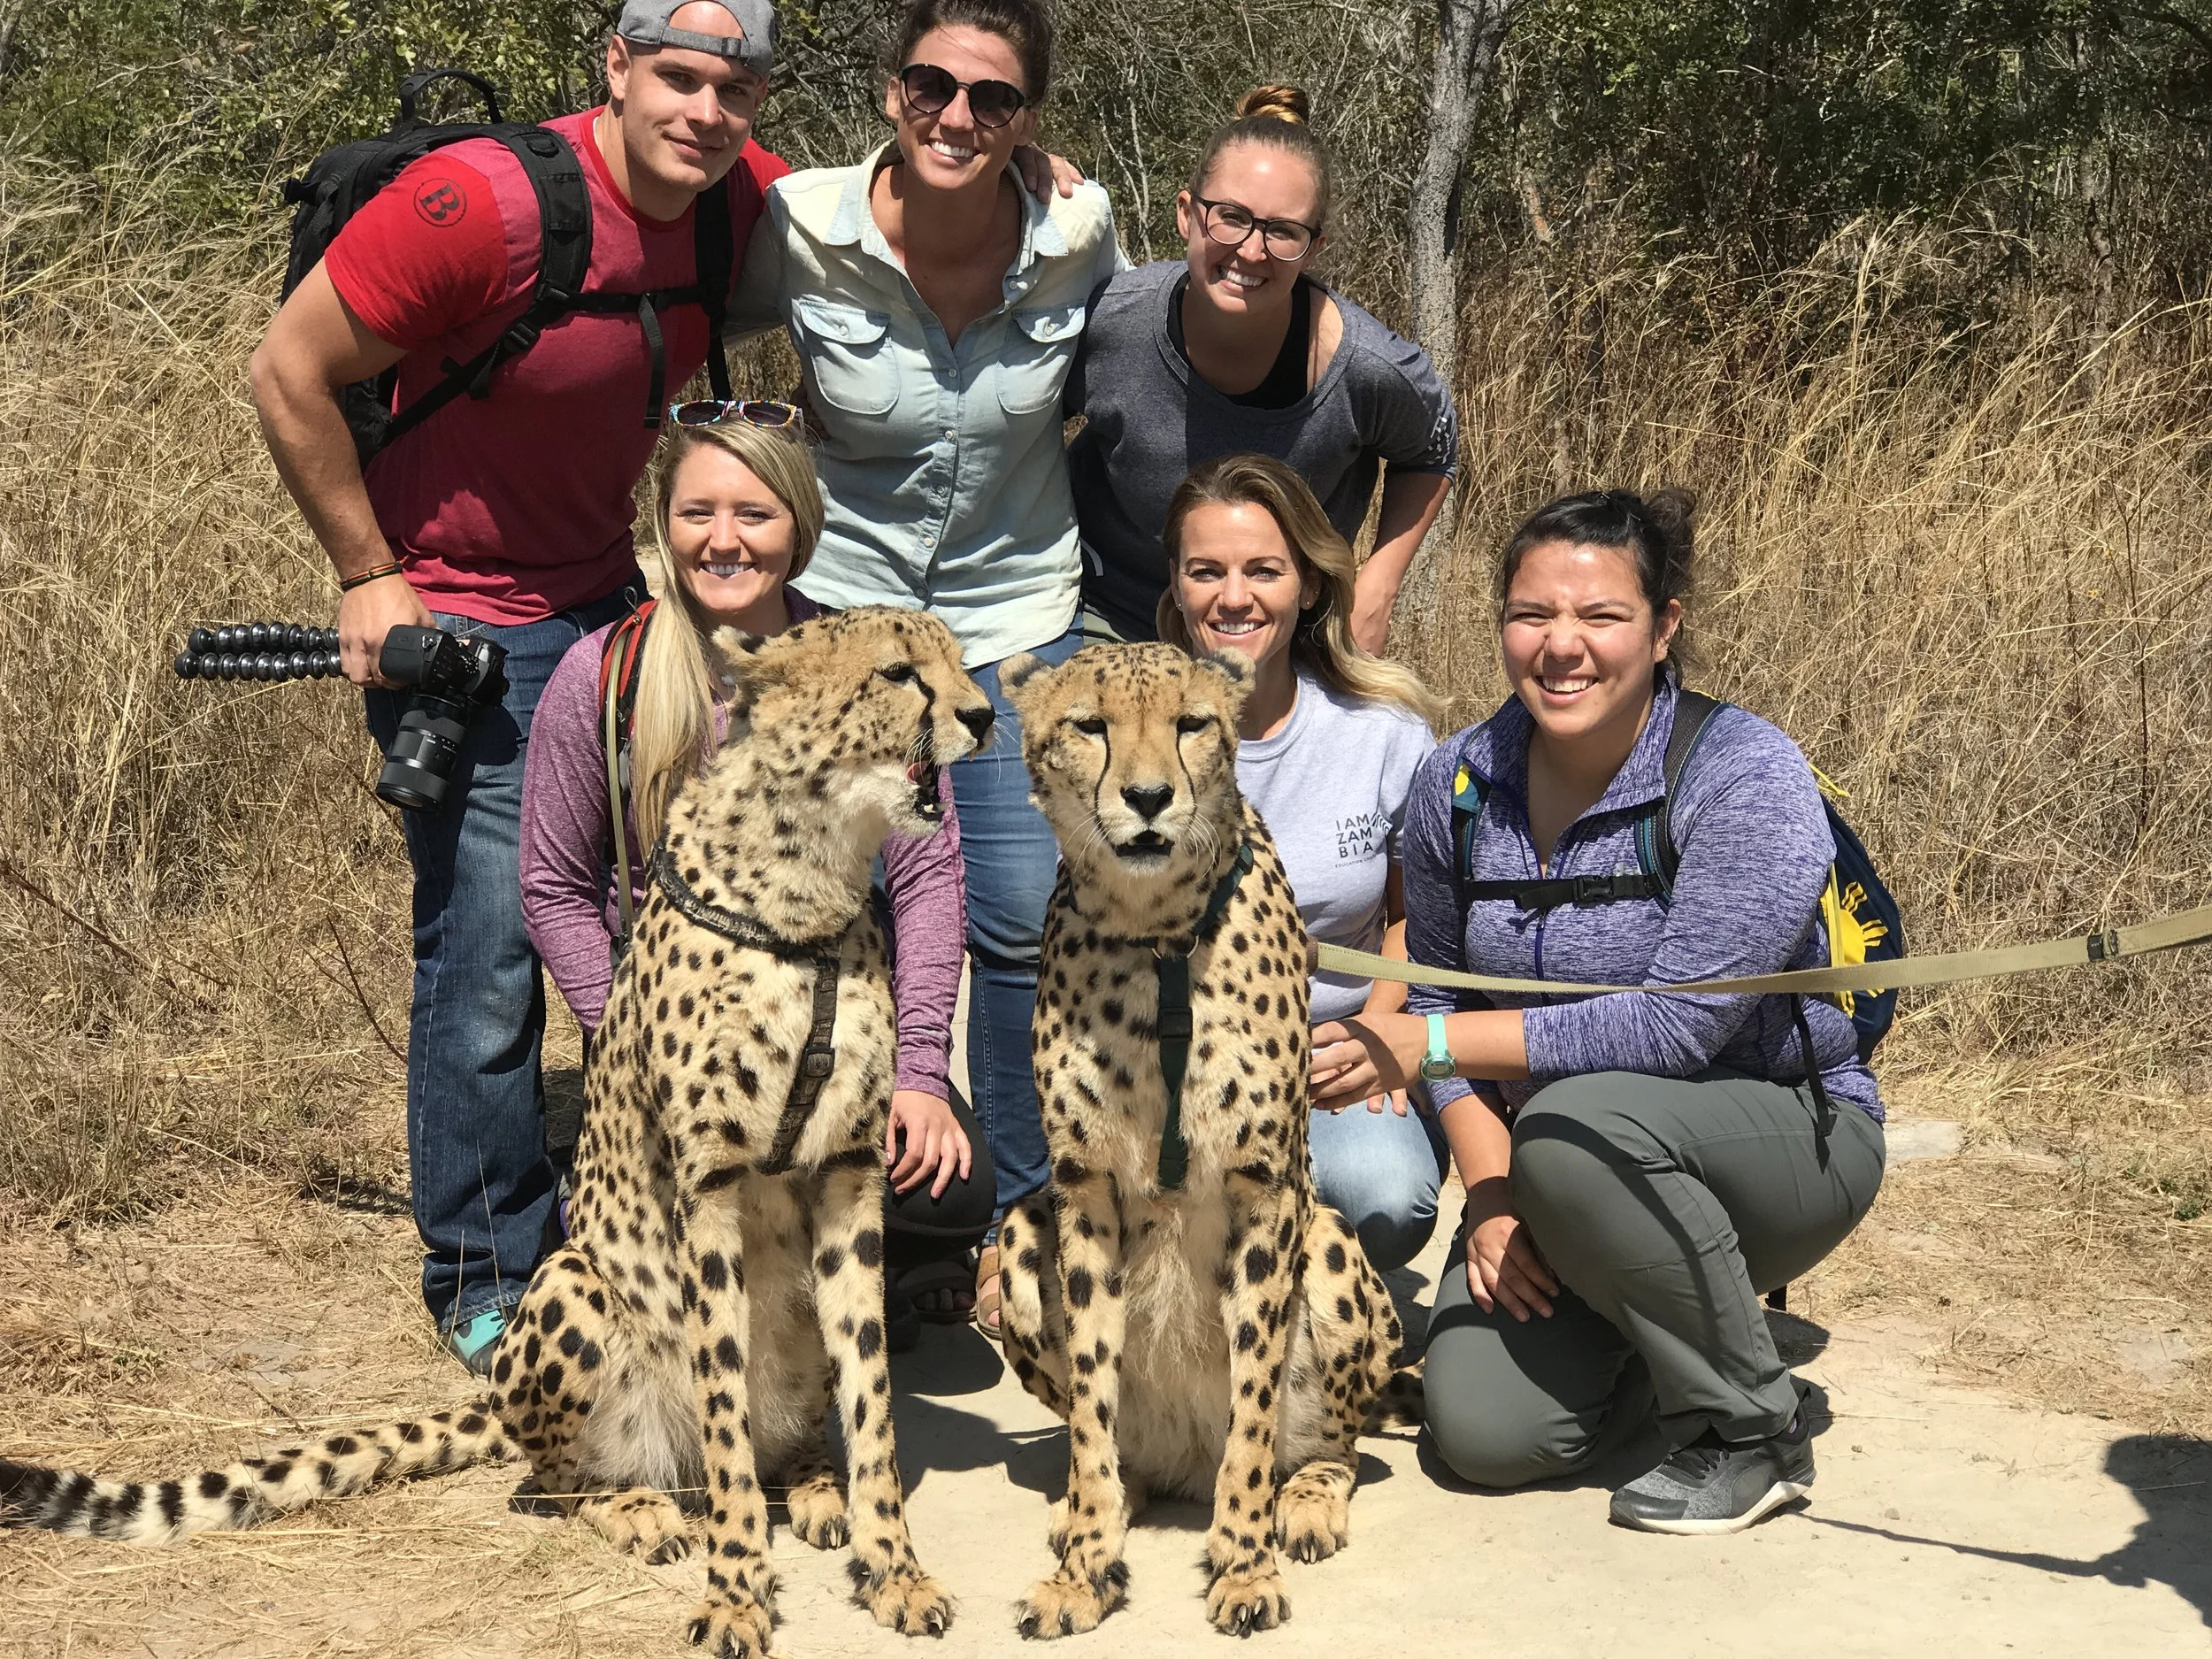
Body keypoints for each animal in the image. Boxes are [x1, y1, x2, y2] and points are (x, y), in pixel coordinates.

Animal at [0, 606, 995, 1659]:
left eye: (957, 660)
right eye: (898, 672)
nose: (982, 716)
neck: (809, 885)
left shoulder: (848, 1177)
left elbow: (871, 1400)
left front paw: (894, 1567)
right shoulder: (709, 1189)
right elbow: (722, 1418)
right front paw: (735, 1590)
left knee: (782, 1430)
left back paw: (811, 1484)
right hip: (573, 1286)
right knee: (558, 1475)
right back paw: (636, 1506)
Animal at [993, 641, 1410, 1641]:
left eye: (1191, 724)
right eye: (1089, 725)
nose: (1148, 798)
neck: (1157, 935)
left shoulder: (1266, 1192)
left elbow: (1253, 1409)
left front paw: (1247, 1562)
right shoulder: (1082, 1190)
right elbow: (1091, 1409)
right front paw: (1084, 1567)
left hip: (1328, 1243)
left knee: (1335, 1446)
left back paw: (1301, 1502)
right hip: (1020, 1237)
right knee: (1112, 1448)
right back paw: (1100, 1506)